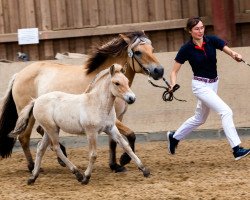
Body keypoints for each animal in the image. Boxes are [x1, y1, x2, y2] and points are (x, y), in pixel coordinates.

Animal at [0, 30, 164, 172]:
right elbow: (131, 134)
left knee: (42, 132)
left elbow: (113, 142)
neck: (105, 82)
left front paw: (115, 166)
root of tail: (18, 74)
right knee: (24, 138)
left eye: (152, 49)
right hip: (28, 114)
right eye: (138, 52)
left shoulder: (115, 118)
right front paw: (124, 160)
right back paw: (33, 167)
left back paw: (60, 157)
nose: (159, 71)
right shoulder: (114, 120)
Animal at [9, 65, 149, 185]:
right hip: (52, 129)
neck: (97, 104)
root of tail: (36, 100)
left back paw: (33, 177)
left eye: (127, 81)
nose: (131, 98)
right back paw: (77, 174)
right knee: (56, 148)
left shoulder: (111, 129)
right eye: (116, 83)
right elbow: (93, 154)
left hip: (50, 130)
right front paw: (86, 177)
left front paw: (144, 170)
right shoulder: (91, 132)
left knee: (40, 148)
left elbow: (126, 146)